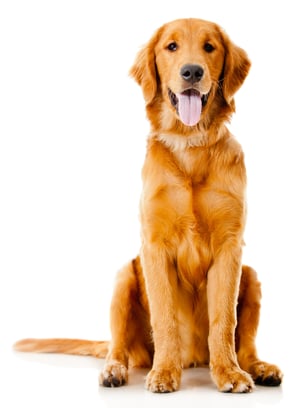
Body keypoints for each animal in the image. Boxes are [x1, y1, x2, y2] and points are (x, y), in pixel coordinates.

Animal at [14, 18, 282, 392]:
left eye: (210, 47)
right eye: (171, 46)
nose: (192, 71)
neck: (190, 143)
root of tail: (194, 358)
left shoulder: (230, 246)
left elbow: (224, 320)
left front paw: (228, 373)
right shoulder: (154, 246)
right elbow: (165, 316)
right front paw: (165, 372)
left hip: (251, 275)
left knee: (247, 345)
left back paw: (258, 367)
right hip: (124, 276)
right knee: (118, 346)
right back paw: (116, 370)